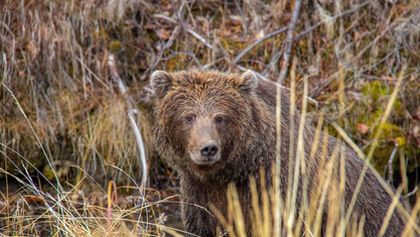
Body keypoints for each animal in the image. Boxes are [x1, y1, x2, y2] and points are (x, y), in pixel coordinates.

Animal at [149, 69, 406, 236]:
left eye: (220, 117)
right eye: (188, 117)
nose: (208, 148)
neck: (232, 171)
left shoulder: (280, 192)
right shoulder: (200, 196)